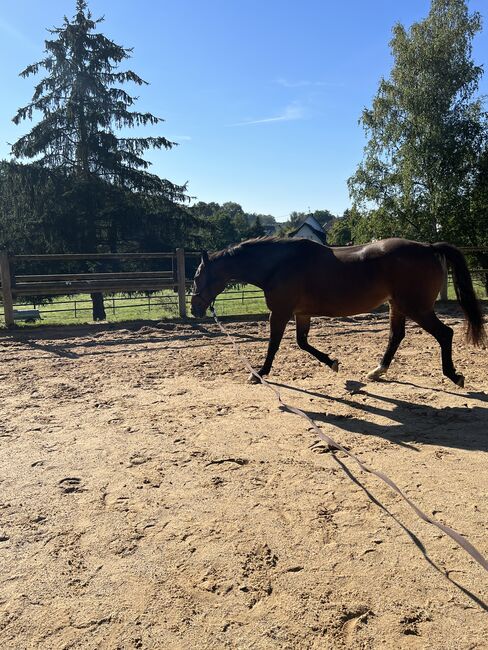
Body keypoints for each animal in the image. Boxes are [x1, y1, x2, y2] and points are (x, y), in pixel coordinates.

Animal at [190, 237, 484, 384]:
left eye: (196, 277)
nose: (194, 309)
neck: (279, 264)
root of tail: (429, 247)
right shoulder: (301, 313)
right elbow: (302, 343)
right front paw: (332, 363)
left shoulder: (281, 312)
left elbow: (274, 344)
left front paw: (259, 373)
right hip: (398, 305)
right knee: (396, 337)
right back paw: (377, 371)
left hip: (417, 307)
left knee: (444, 334)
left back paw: (454, 375)